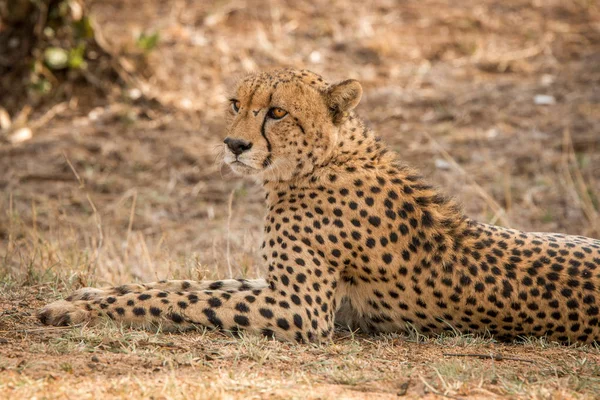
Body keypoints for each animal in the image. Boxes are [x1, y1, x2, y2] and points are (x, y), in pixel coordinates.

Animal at [39, 69, 600, 344]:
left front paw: (78, 309)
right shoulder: (279, 286)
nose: (234, 145)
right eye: (236, 105)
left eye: (276, 112)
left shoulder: (299, 309)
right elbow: (185, 285)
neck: (321, 160)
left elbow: (179, 300)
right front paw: (91, 292)